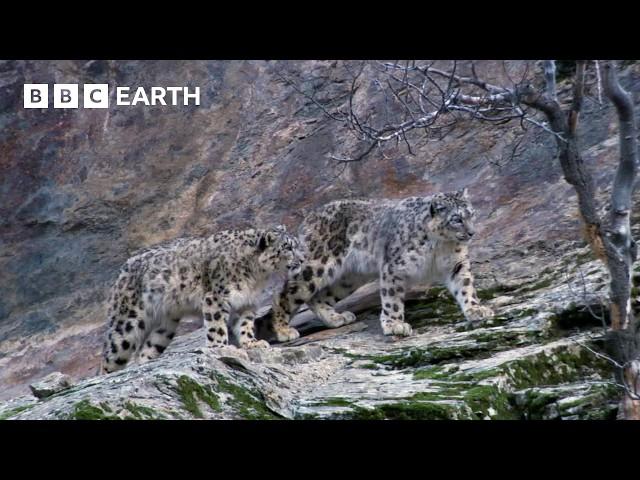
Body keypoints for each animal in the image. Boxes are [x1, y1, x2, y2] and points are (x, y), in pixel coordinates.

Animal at [101, 226, 304, 376]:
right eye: (288, 247)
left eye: (295, 244)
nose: (302, 259)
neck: (257, 277)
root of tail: (122, 269)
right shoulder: (216, 298)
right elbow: (217, 326)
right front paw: (221, 348)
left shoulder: (247, 303)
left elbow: (245, 325)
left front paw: (252, 343)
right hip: (127, 323)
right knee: (110, 358)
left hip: (165, 327)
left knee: (146, 350)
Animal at [270, 188, 496, 342]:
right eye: (457, 218)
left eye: (472, 214)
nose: (472, 232)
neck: (441, 245)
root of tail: (308, 218)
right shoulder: (394, 266)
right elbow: (392, 298)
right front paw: (395, 324)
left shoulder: (457, 264)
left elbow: (465, 287)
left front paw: (476, 310)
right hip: (316, 266)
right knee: (285, 294)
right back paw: (284, 331)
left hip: (349, 278)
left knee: (317, 297)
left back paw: (336, 318)